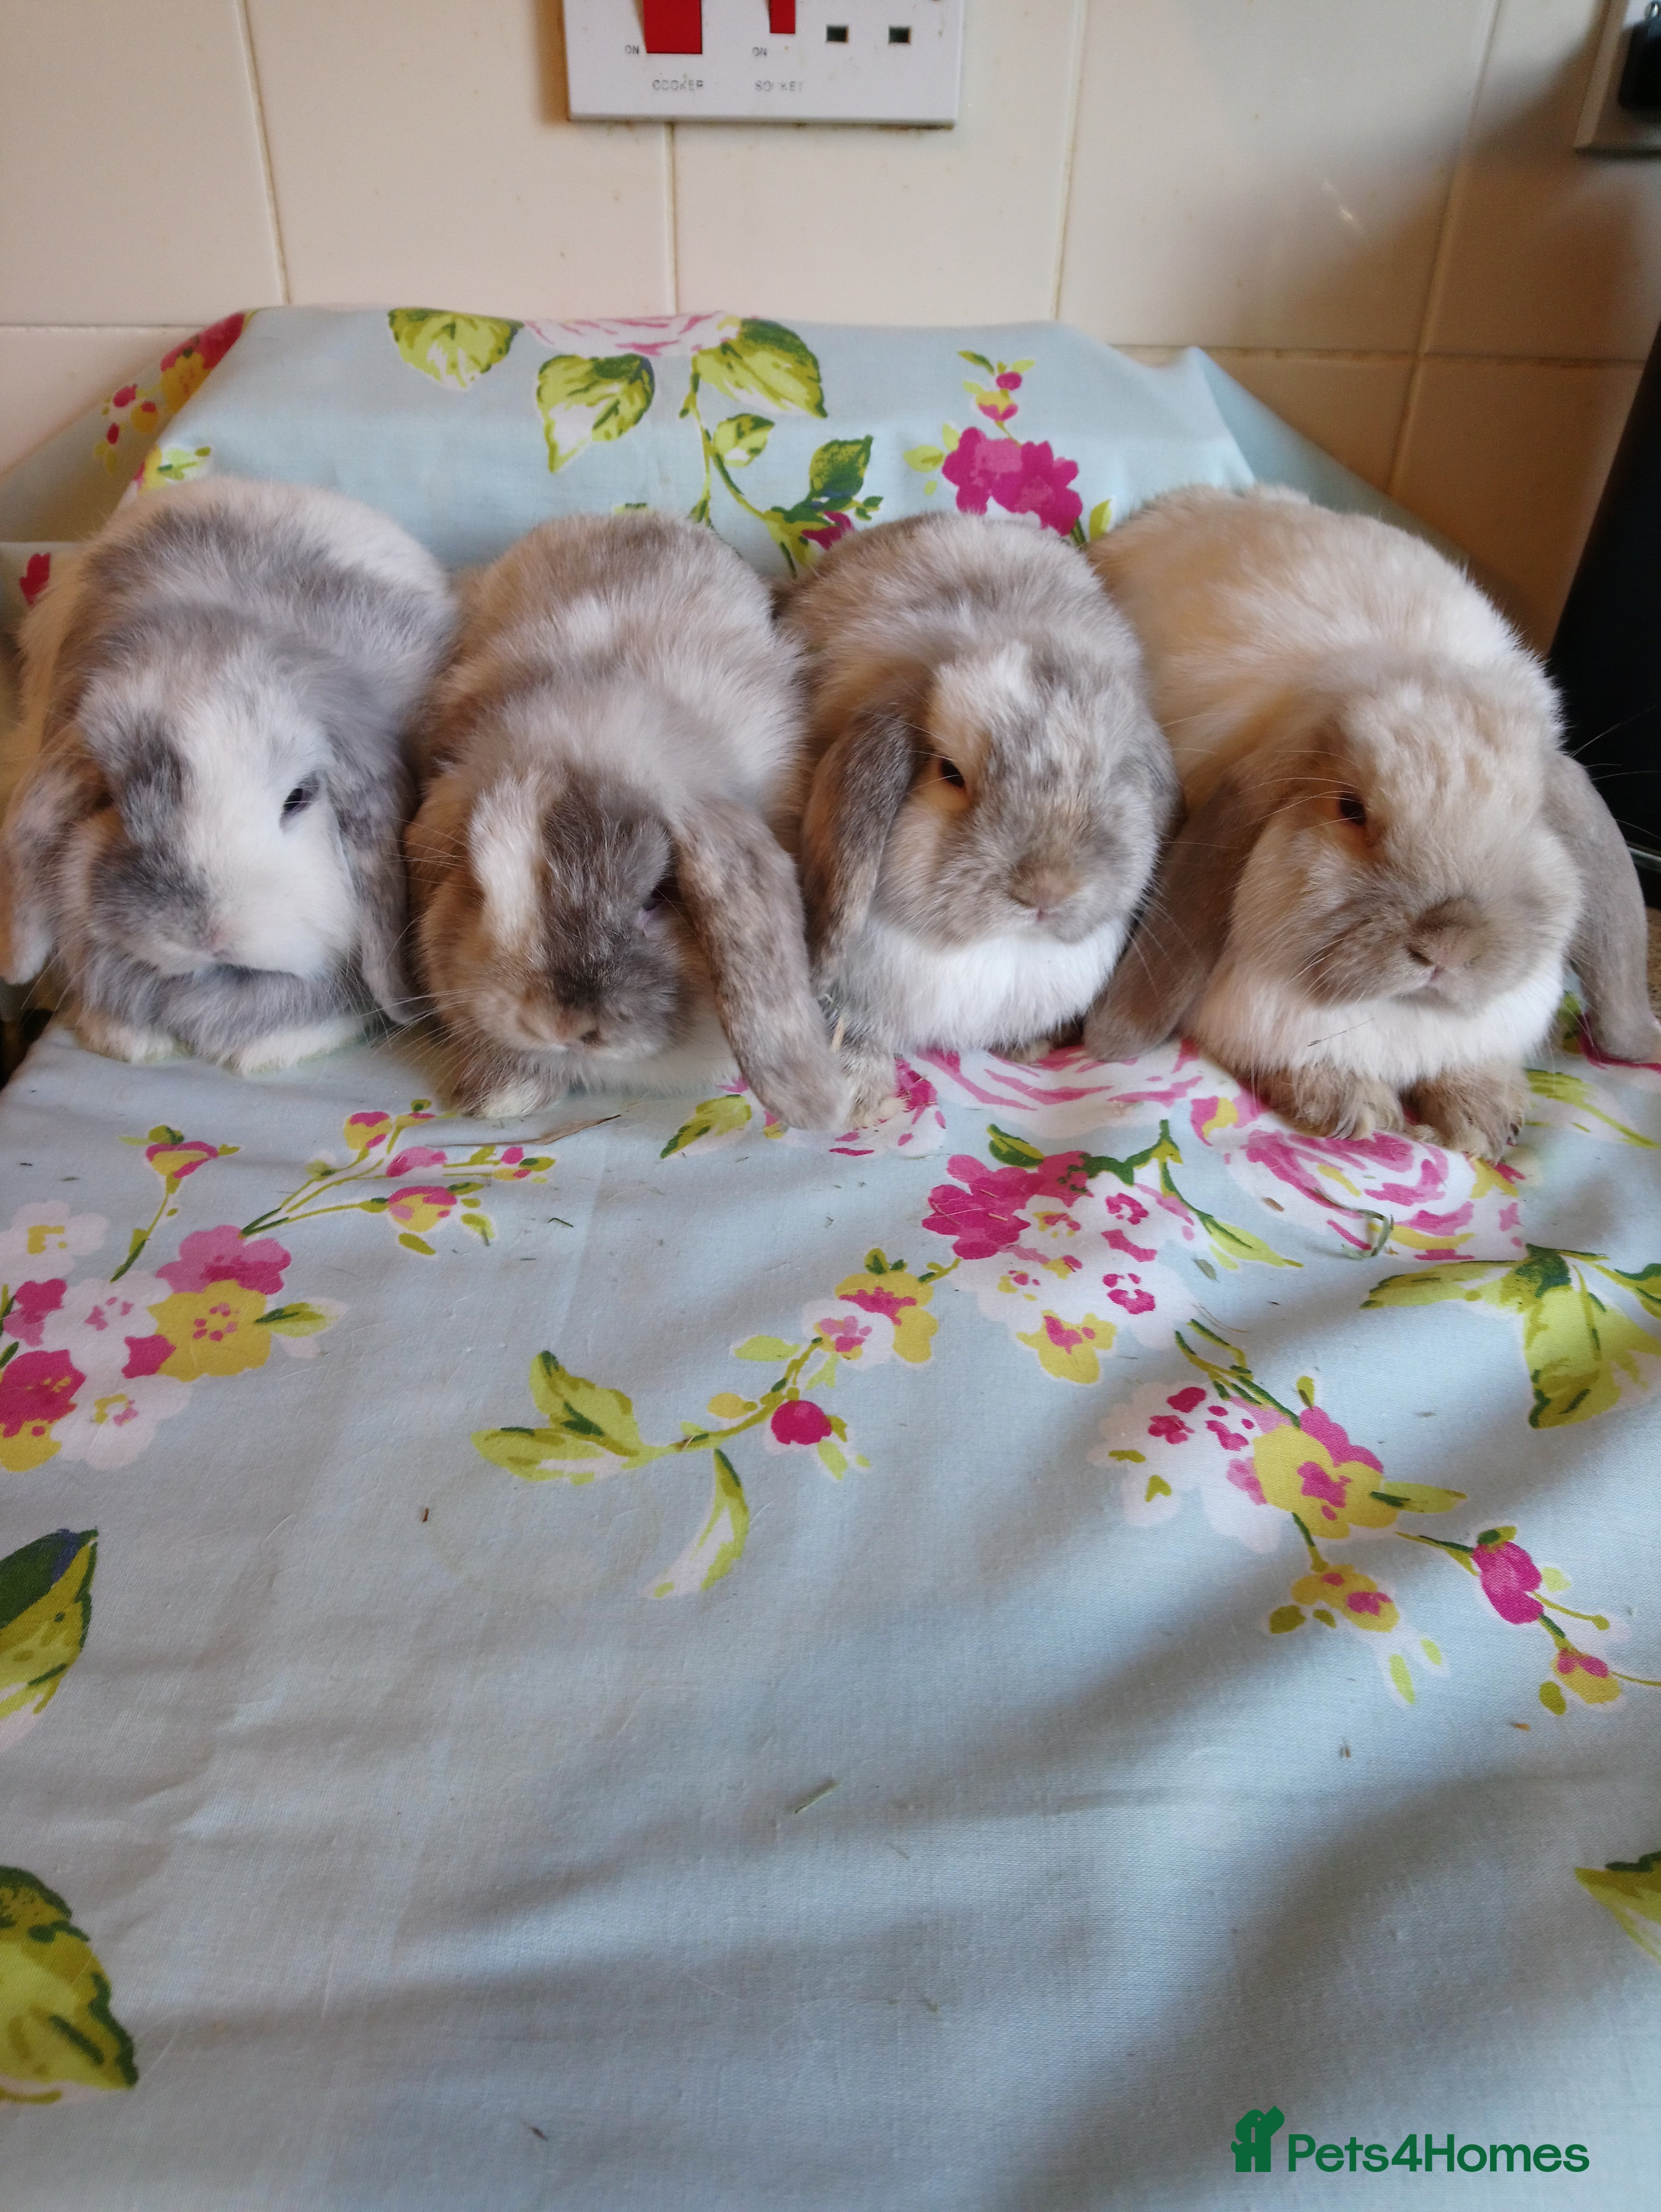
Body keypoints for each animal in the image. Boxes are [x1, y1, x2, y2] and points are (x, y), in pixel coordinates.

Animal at [776, 512, 1178, 1120]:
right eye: (950, 773)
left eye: (1113, 776)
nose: (1047, 891)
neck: (991, 949)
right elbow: (859, 1033)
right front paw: (860, 1096)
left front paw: (1030, 1047)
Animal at [1084, 484, 1661, 1155]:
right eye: (1351, 809)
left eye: (1532, 815)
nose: (1450, 944)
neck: (1405, 1013)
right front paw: (1352, 1107)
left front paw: (1485, 1119)